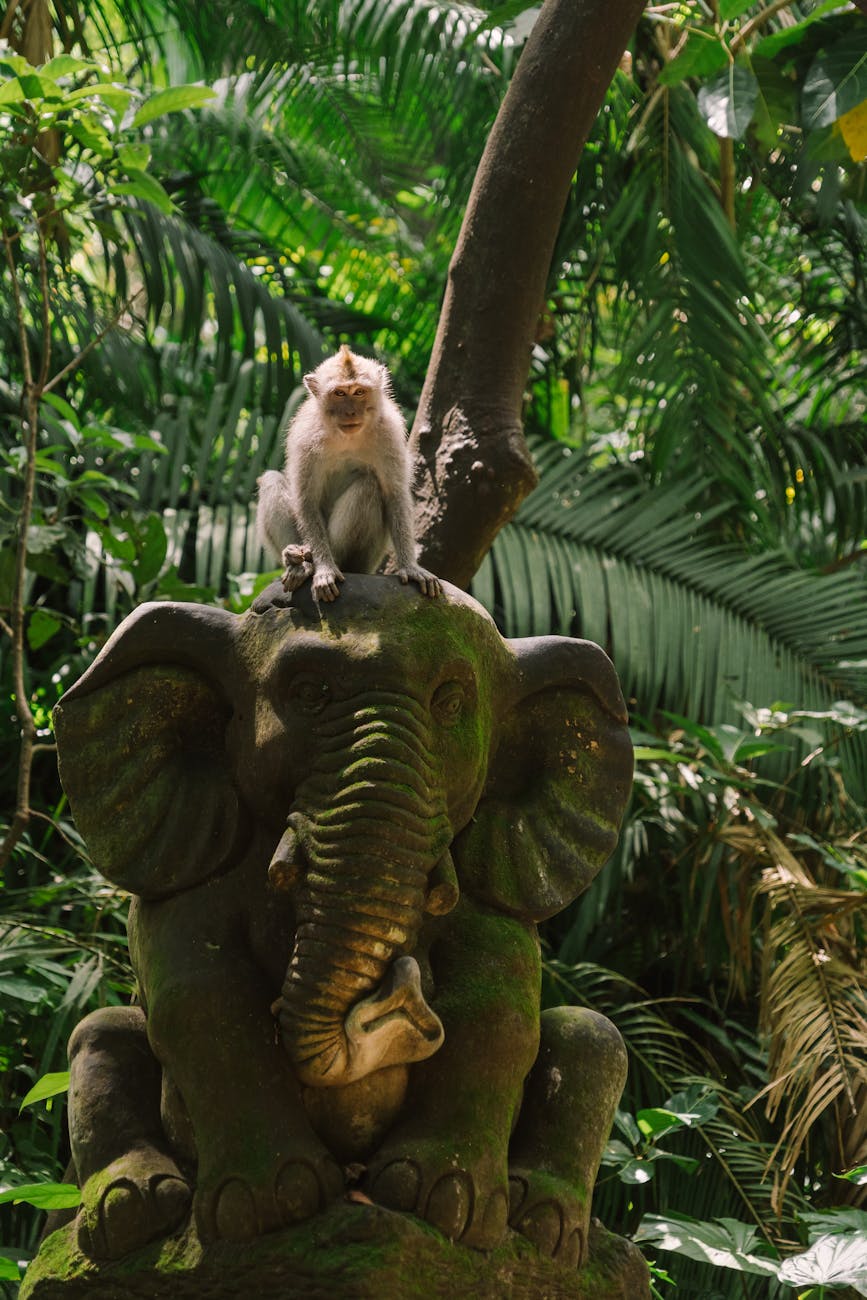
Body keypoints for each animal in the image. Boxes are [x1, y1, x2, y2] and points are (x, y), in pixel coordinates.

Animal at [254, 351, 436, 603]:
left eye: (359, 392)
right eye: (339, 393)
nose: (351, 412)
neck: (346, 437)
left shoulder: (388, 433)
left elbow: (394, 494)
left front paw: (410, 567)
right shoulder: (305, 438)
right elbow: (307, 500)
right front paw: (324, 569)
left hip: (366, 560)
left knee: (368, 486)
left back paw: (322, 561)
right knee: (272, 479)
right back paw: (300, 563)